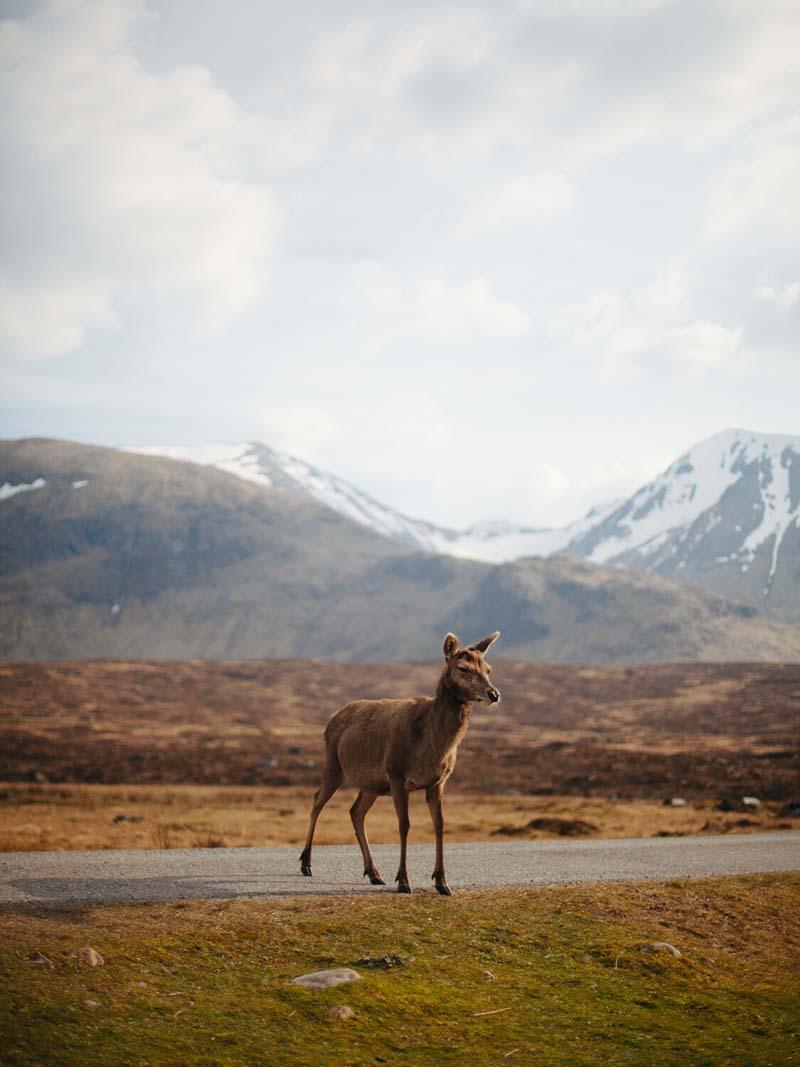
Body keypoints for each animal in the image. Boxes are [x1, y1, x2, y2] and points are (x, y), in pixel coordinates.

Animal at [300, 631, 501, 892]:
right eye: (463, 668)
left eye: (488, 668)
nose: (493, 694)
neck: (431, 748)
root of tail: (332, 718)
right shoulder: (396, 774)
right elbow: (404, 824)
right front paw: (404, 881)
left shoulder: (439, 781)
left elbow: (440, 824)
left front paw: (442, 882)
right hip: (334, 764)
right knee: (317, 802)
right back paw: (306, 863)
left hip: (371, 783)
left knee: (356, 812)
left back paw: (374, 872)